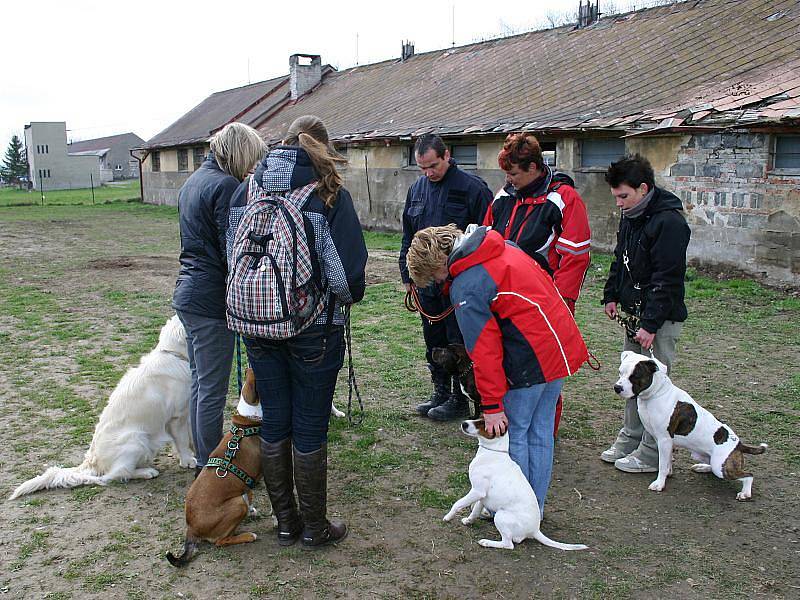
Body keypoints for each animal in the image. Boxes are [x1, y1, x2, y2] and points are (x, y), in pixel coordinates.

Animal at [12, 316, 195, 500]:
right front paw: (188, 460)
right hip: (136, 439)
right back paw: (146, 472)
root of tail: (93, 461)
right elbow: (183, 440)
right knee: (115, 475)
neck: (174, 355)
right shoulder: (178, 416)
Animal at [167, 366, 264, 568]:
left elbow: (249, 492)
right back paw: (248, 535)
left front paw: (252, 509)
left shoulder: (247, 482)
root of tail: (191, 529)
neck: (248, 421)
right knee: (221, 541)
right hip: (236, 505)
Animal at [444, 420, 588, 552]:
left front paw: (448, 516)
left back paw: (486, 542)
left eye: (483, 423)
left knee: (509, 544)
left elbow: (457, 503)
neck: (494, 452)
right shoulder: (481, 497)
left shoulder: (477, 491)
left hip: (501, 516)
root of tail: (534, 530)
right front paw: (469, 521)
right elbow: (475, 510)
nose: (464, 423)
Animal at [612, 352, 768, 502]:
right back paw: (703, 467)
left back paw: (745, 493)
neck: (655, 394)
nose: (617, 387)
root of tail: (738, 445)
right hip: (705, 457)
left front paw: (659, 483)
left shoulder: (664, 439)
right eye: (620, 372)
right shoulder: (663, 441)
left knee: (748, 475)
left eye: (635, 376)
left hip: (721, 466)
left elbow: (662, 463)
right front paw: (667, 474)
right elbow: (667, 460)